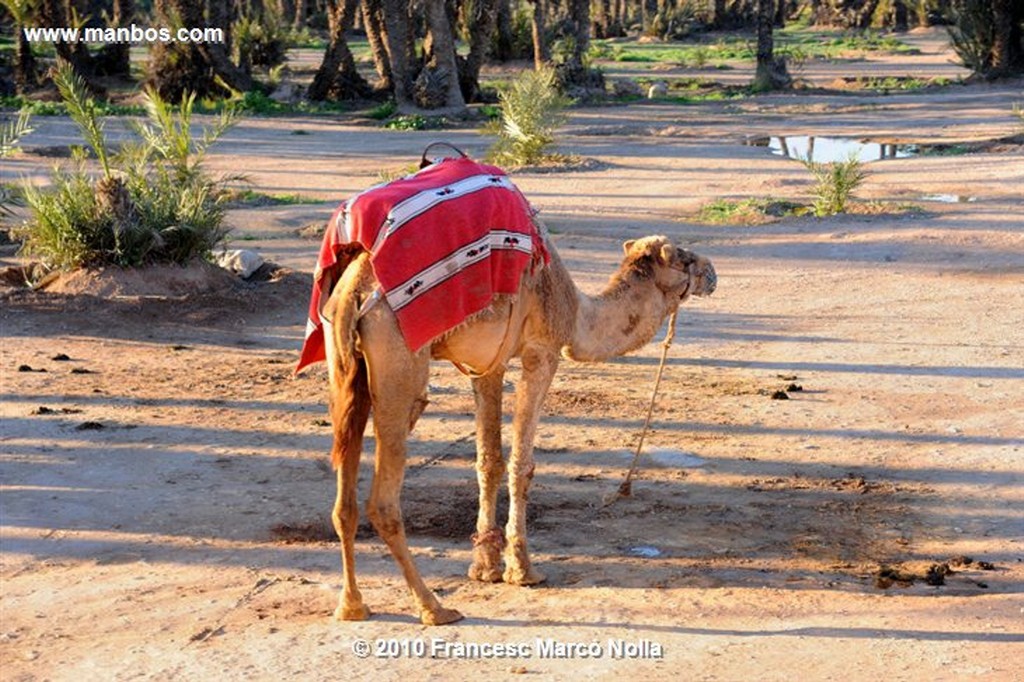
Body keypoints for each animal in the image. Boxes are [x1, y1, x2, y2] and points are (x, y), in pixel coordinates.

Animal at [323, 229, 716, 622]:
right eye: (683, 258)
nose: (712, 272)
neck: (579, 314)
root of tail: (354, 291)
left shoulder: (486, 366)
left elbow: (489, 462)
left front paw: (485, 568)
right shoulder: (541, 352)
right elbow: (521, 465)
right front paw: (523, 570)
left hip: (343, 369)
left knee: (344, 499)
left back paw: (352, 604)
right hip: (399, 365)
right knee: (383, 500)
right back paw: (433, 607)